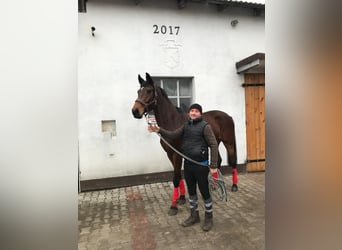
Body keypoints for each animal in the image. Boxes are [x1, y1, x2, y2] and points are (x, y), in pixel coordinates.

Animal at [131, 72, 238, 215]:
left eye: (149, 91)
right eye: (138, 91)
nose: (135, 111)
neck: (172, 122)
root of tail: (228, 116)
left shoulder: (177, 154)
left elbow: (176, 177)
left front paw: (173, 206)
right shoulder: (170, 153)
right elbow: (178, 175)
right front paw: (181, 198)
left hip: (228, 142)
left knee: (232, 160)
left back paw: (234, 186)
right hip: (215, 142)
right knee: (218, 161)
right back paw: (215, 185)